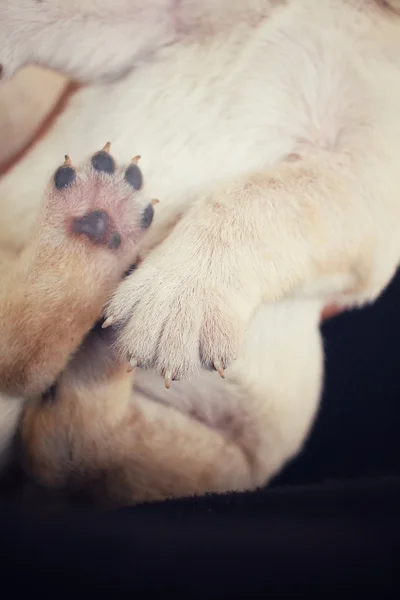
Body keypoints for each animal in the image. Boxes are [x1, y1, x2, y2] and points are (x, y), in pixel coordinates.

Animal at [0, 0, 400, 508]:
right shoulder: (153, 20)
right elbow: (61, 13)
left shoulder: (369, 183)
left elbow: (263, 193)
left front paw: (182, 291)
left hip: (232, 455)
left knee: (71, 440)